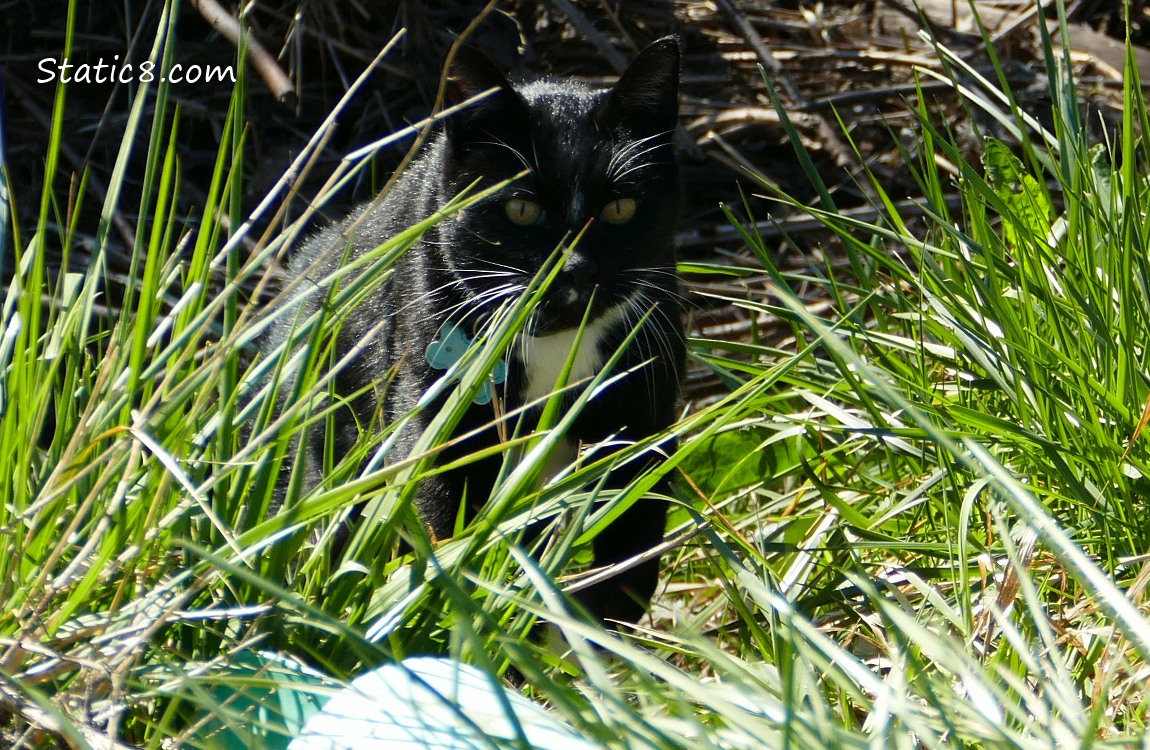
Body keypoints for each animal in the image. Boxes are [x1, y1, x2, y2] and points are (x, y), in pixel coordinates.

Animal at [269, 37, 680, 625]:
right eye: (521, 208)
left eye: (621, 207)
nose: (577, 268)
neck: (556, 344)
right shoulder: (432, 415)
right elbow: (443, 526)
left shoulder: (643, 407)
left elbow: (630, 550)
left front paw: (600, 638)